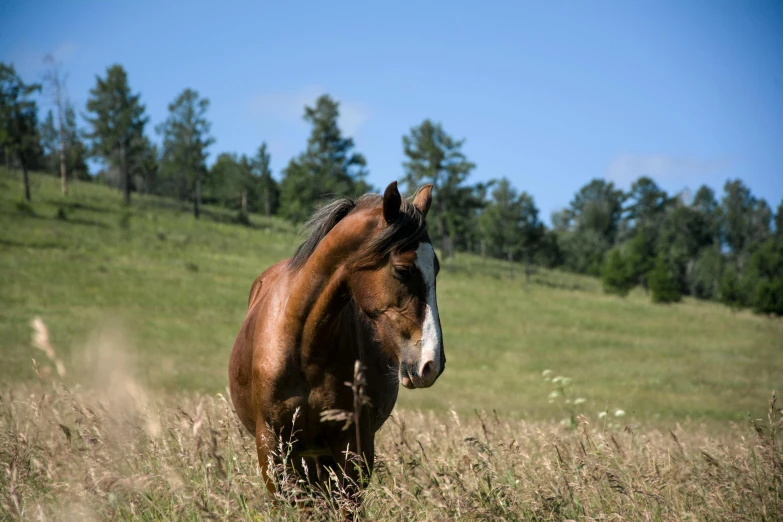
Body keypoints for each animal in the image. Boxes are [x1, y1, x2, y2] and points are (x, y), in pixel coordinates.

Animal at [228, 181, 448, 502]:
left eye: (436, 269)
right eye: (403, 269)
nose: (432, 364)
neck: (304, 346)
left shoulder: (351, 448)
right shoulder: (272, 447)